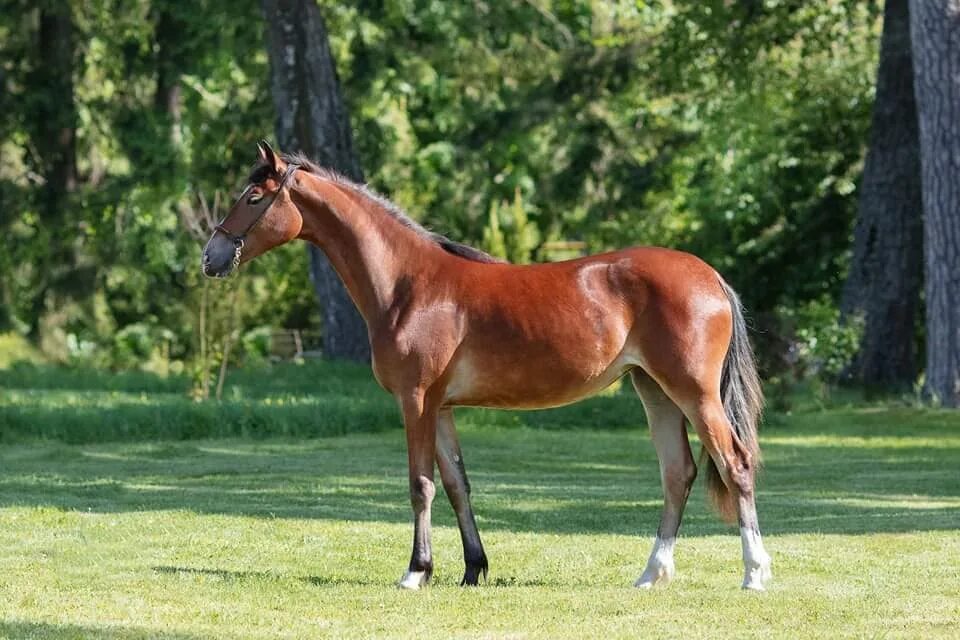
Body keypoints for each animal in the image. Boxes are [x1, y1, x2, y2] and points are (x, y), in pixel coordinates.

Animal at [201, 142, 772, 592]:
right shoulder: (442, 408)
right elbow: (457, 485)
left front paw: (416, 571)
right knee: (678, 473)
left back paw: (754, 573)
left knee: (736, 464)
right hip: (654, 391)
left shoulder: (415, 401)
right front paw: (473, 569)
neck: (408, 284)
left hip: (694, 393)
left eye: (253, 198)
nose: (210, 256)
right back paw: (651, 575)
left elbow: (421, 484)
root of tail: (710, 277)